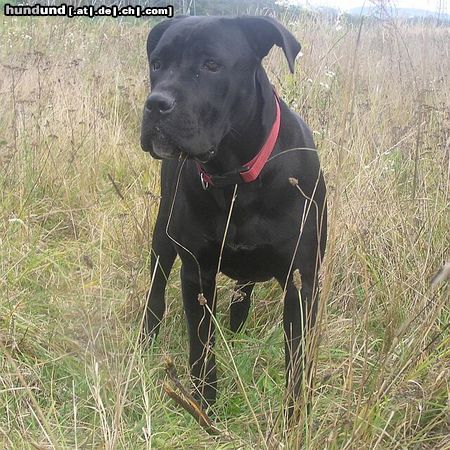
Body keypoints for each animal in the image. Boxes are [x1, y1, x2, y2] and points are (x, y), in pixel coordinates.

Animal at [141, 15, 326, 416]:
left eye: (211, 65)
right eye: (157, 64)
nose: (156, 104)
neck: (236, 177)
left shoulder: (302, 282)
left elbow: (297, 359)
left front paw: (294, 416)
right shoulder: (197, 273)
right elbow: (201, 347)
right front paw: (203, 405)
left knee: (244, 290)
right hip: (163, 237)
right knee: (156, 291)